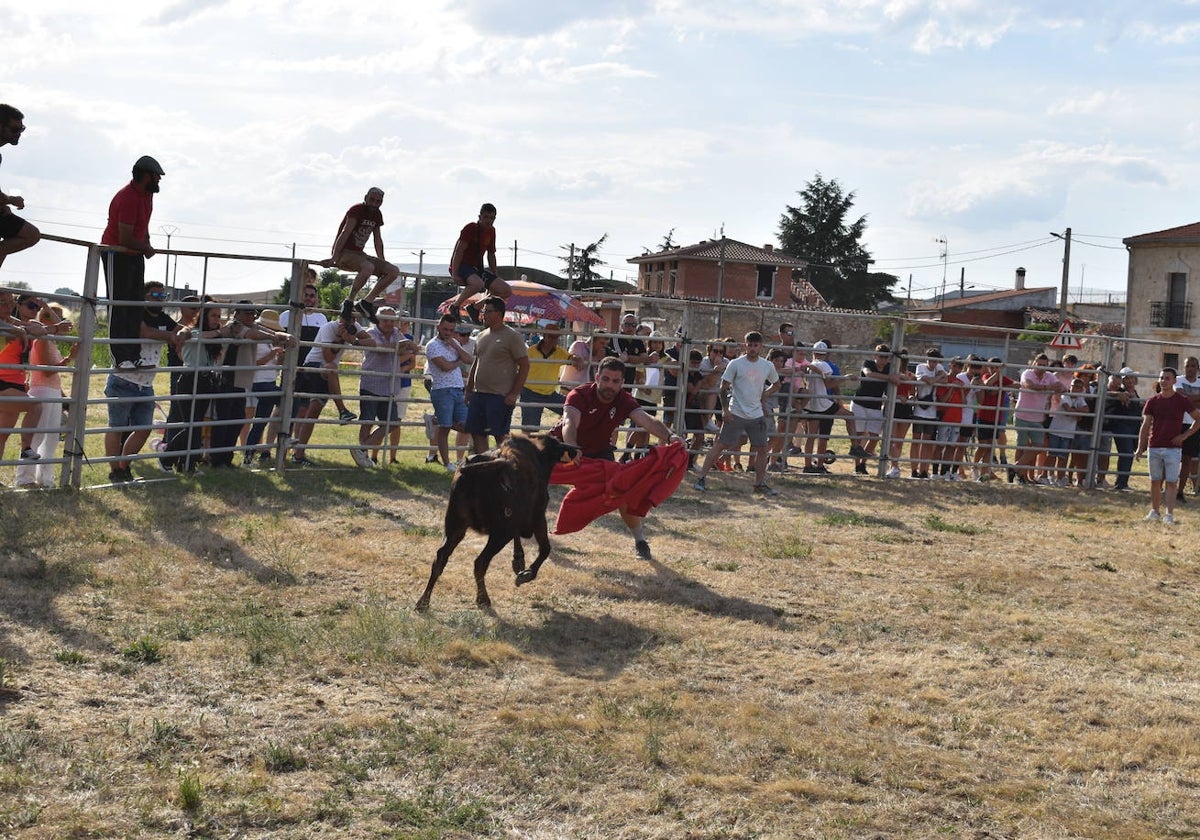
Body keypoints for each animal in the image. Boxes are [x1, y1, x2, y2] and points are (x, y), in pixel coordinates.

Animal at [417, 432, 576, 609]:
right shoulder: (538, 518)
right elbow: (545, 548)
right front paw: (526, 573)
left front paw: (519, 560)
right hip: (500, 533)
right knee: (480, 562)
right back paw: (483, 598)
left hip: (456, 526)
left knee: (440, 558)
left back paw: (424, 601)